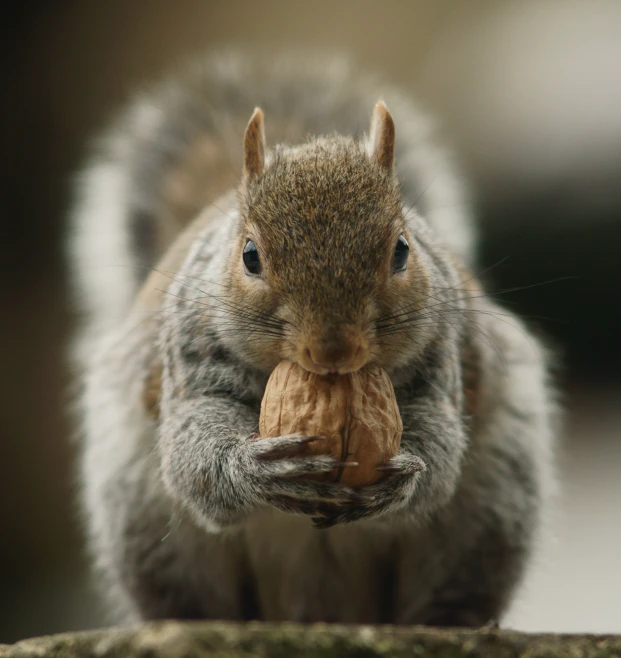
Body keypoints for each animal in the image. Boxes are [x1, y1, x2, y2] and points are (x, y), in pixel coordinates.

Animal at [69, 53, 556, 624]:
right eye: (250, 256)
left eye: (402, 249)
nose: (334, 351)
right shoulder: (191, 356)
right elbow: (194, 455)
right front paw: (253, 469)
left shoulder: (442, 355)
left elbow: (439, 442)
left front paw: (405, 474)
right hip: (145, 526)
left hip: (489, 514)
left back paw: (451, 621)